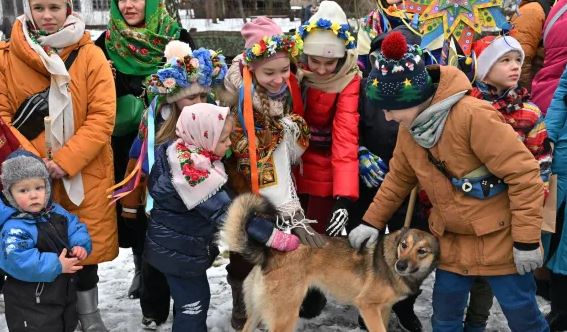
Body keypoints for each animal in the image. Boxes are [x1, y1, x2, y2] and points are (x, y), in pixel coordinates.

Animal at [221, 193, 440, 330]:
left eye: (422, 251)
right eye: (404, 245)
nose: (400, 266)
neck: (390, 256)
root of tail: (269, 253)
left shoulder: (383, 310)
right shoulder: (367, 306)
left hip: (257, 312)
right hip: (285, 316)